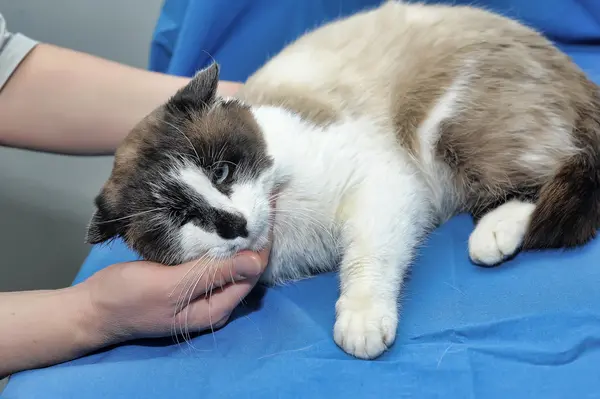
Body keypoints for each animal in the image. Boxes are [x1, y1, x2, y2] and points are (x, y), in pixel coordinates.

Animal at [84, 0, 600, 360]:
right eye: (180, 218)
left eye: (222, 171)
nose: (234, 224)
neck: (287, 227)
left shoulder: (383, 184)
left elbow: (367, 258)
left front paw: (362, 320)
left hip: (447, 127)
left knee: (554, 172)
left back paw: (492, 235)